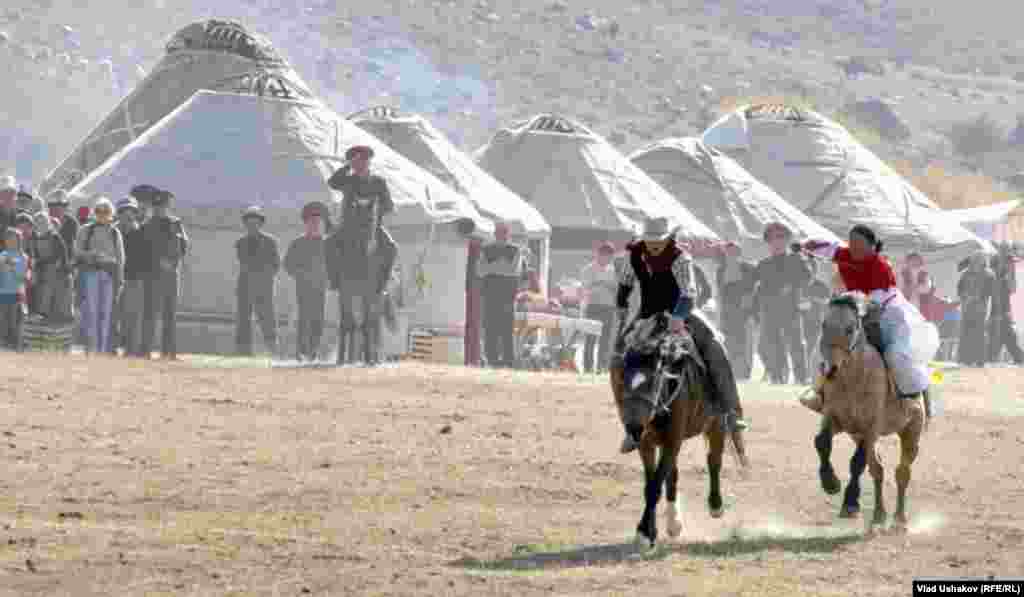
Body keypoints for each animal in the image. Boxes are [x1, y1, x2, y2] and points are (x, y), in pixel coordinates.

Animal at [612, 313, 749, 549]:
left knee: (713, 461)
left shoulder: (673, 439)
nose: (634, 427)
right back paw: (674, 523)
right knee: (673, 474)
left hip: (716, 424)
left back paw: (715, 505)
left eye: (653, 381)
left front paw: (644, 533)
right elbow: (652, 483)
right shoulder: (648, 443)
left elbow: (655, 486)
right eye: (623, 378)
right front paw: (651, 531)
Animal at [811, 292, 928, 531]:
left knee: (901, 472)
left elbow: (861, 463)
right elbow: (822, 442)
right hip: (855, 432)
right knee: (877, 466)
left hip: (912, 431)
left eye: (850, 328)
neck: (853, 379)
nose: (830, 369)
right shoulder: (835, 418)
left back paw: (898, 519)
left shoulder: (870, 427)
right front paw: (830, 483)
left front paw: (860, 507)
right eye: (824, 324)